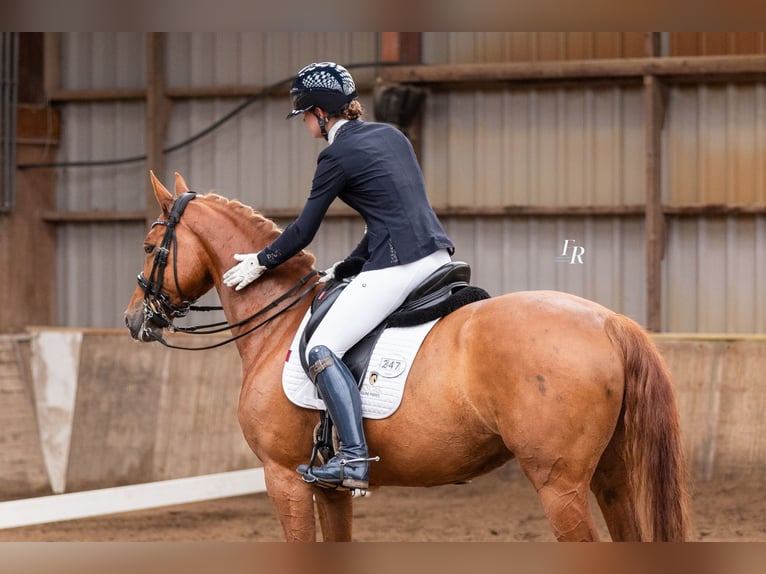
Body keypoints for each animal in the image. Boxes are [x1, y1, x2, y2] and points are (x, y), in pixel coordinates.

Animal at [124, 173, 688, 544]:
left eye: (151, 246)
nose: (134, 320)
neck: (280, 321)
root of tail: (607, 321)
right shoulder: (326, 487)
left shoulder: (282, 476)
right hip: (611, 475)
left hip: (559, 483)